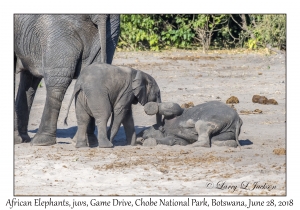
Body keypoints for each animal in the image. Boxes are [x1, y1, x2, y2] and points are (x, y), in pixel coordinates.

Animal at [13, 13, 119, 145]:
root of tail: (100, 15)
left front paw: (17, 140)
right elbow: (29, 79)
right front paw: (21, 139)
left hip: (59, 31)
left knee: (57, 84)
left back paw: (41, 141)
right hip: (111, 33)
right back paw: (87, 141)